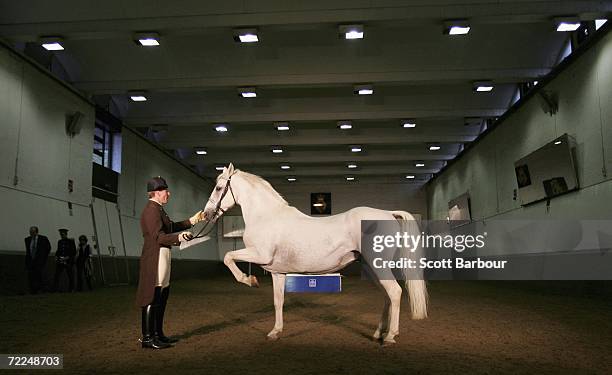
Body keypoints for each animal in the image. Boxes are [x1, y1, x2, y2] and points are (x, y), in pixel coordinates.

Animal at [201, 163, 426, 346]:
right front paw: (275, 332)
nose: (207, 214)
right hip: (371, 268)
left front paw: (249, 280)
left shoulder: (259, 255)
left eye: (219, 188)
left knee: (395, 292)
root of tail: (388, 214)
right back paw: (378, 333)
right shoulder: (277, 272)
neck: (266, 216)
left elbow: (228, 257)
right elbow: (278, 301)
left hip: (378, 266)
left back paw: (390, 337)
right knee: (387, 296)